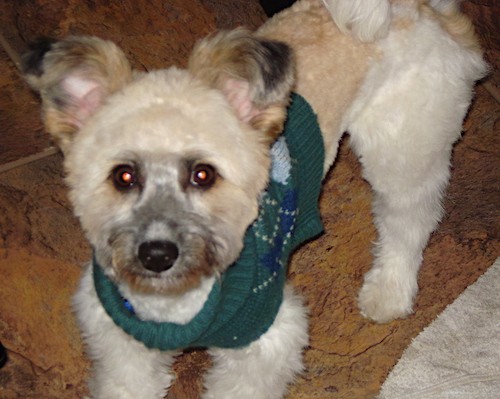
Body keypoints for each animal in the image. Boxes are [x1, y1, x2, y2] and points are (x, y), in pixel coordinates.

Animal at [24, 0, 488, 399]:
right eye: (124, 176)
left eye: (203, 175)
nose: (157, 254)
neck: (176, 302)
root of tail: (415, 10)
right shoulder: (121, 343)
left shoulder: (265, 343)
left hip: (403, 154)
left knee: (410, 222)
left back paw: (389, 289)